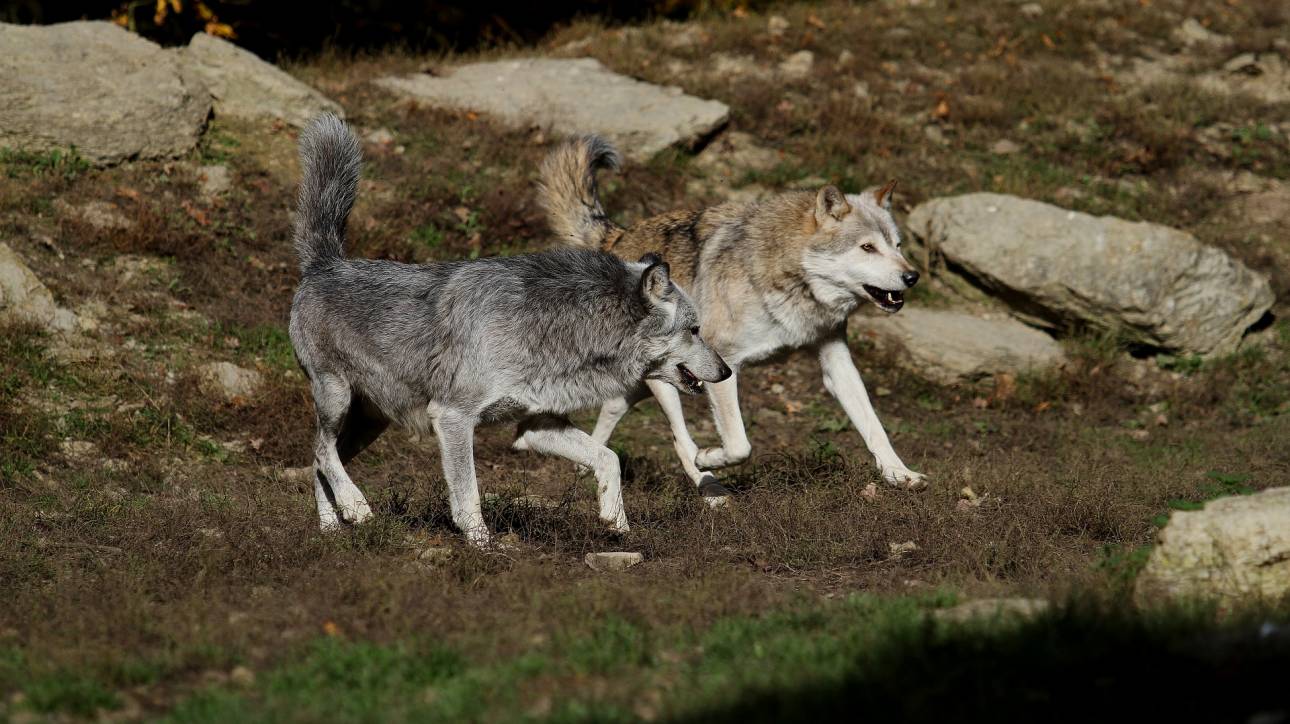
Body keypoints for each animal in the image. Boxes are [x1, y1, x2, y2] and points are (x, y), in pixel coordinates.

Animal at [294, 115, 737, 542]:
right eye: (695, 329)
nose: (726, 370)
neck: (552, 327)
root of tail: (324, 263)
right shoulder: (452, 418)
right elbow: (468, 496)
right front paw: (482, 547)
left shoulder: (536, 426)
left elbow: (608, 459)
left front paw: (617, 524)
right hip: (337, 399)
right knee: (320, 450)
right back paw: (356, 508)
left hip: (372, 422)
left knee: (318, 463)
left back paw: (331, 531)